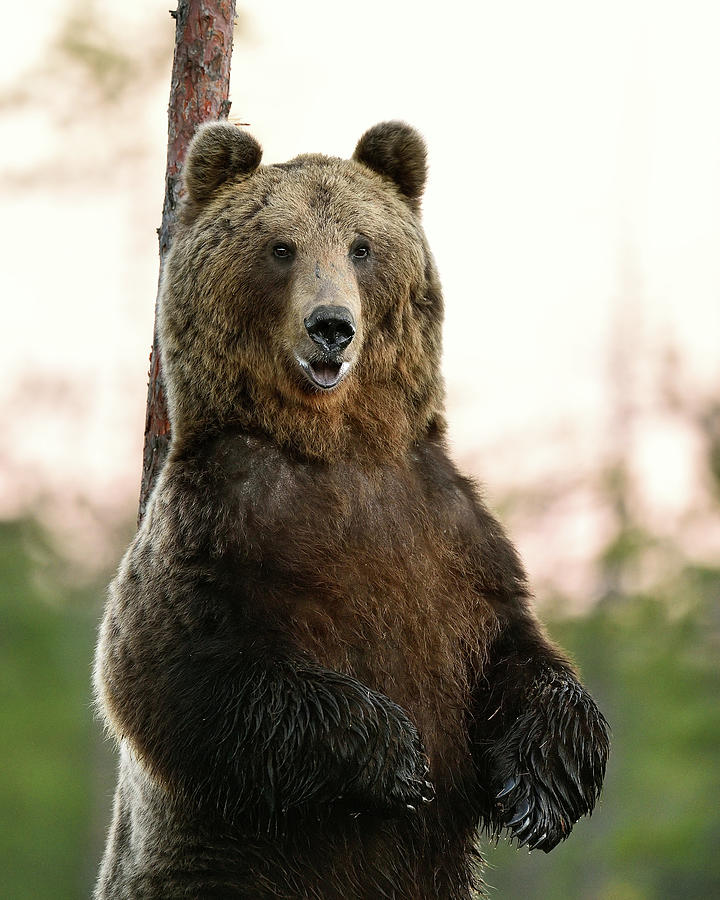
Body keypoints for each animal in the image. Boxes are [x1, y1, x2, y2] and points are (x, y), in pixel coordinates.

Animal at [94, 121, 608, 900]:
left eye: (361, 246)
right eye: (281, 247)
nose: (331, 326)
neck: (334, 444)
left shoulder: (452, 529)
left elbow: (520, 653)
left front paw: (539, 794)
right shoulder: (216, 520)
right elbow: (174, 671)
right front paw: (397, 758)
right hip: (214, 870)